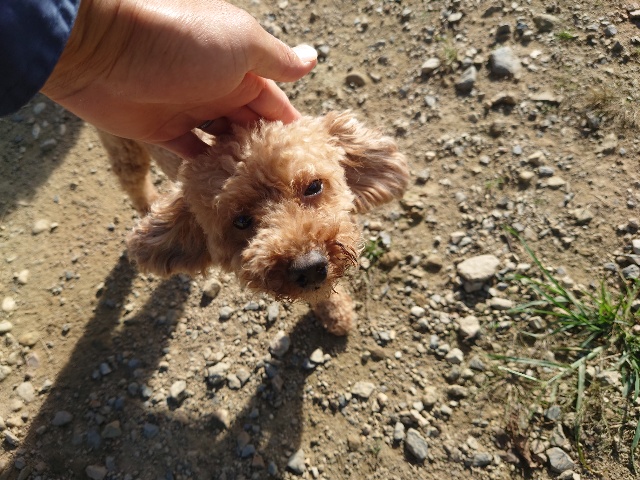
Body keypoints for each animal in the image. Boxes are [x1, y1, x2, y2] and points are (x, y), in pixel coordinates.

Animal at [98, 111, 409, 335]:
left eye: (313, 186)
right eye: (241, 221)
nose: (308, 267)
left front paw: (336, 312)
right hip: (121, 143)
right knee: (133, 180)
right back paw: (147, 203)